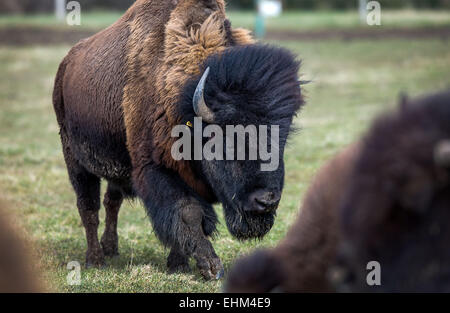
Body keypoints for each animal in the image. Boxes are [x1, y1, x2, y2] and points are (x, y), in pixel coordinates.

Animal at [54, 0, 304, 278]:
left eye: (281, 139)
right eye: (228, 140)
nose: (266, 201)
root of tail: (66, 65)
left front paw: (178, 264)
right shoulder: (157, 170)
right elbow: (188, 213)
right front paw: (211, 267)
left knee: (112, 201)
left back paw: (111, 249)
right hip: (76, 161)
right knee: (88, 208)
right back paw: (95, 259)